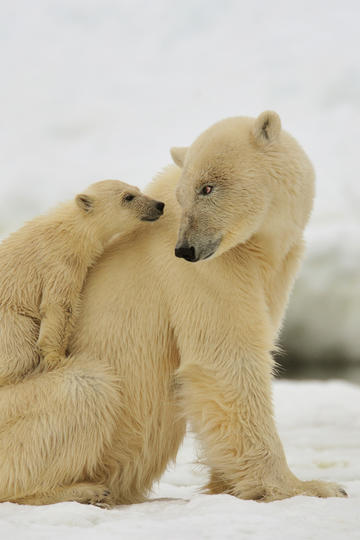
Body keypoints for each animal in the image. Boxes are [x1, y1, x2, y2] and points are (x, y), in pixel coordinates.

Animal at [0, 180, 163, 384]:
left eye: (138, 189)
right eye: (128, 197)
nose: (159, 205)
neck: (71, 229)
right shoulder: (59, 261)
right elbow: (60, 305)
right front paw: (56, 359)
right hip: (10, 319)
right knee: (19, 352)